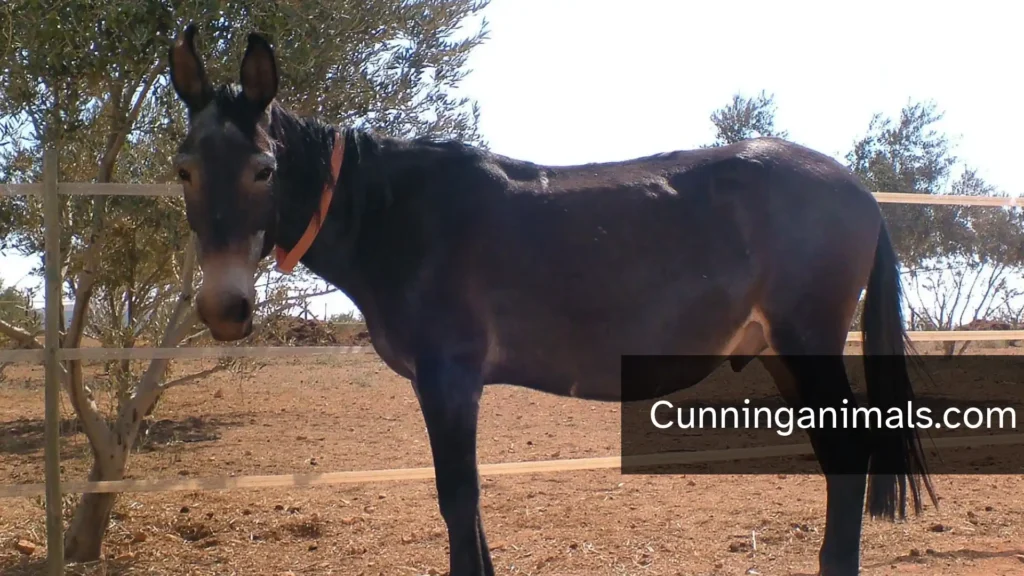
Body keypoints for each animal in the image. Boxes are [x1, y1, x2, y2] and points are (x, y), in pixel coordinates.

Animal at [166, 24, 937, 576]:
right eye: (183, 170)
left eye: (264, 169)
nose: (224, 309)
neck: (398, 214)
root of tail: (860, 190)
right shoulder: (446, 386)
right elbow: (466, 505)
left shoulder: (449, 379)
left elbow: (458, 498)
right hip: (779, 349)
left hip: (807, 340)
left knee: (848, 450)